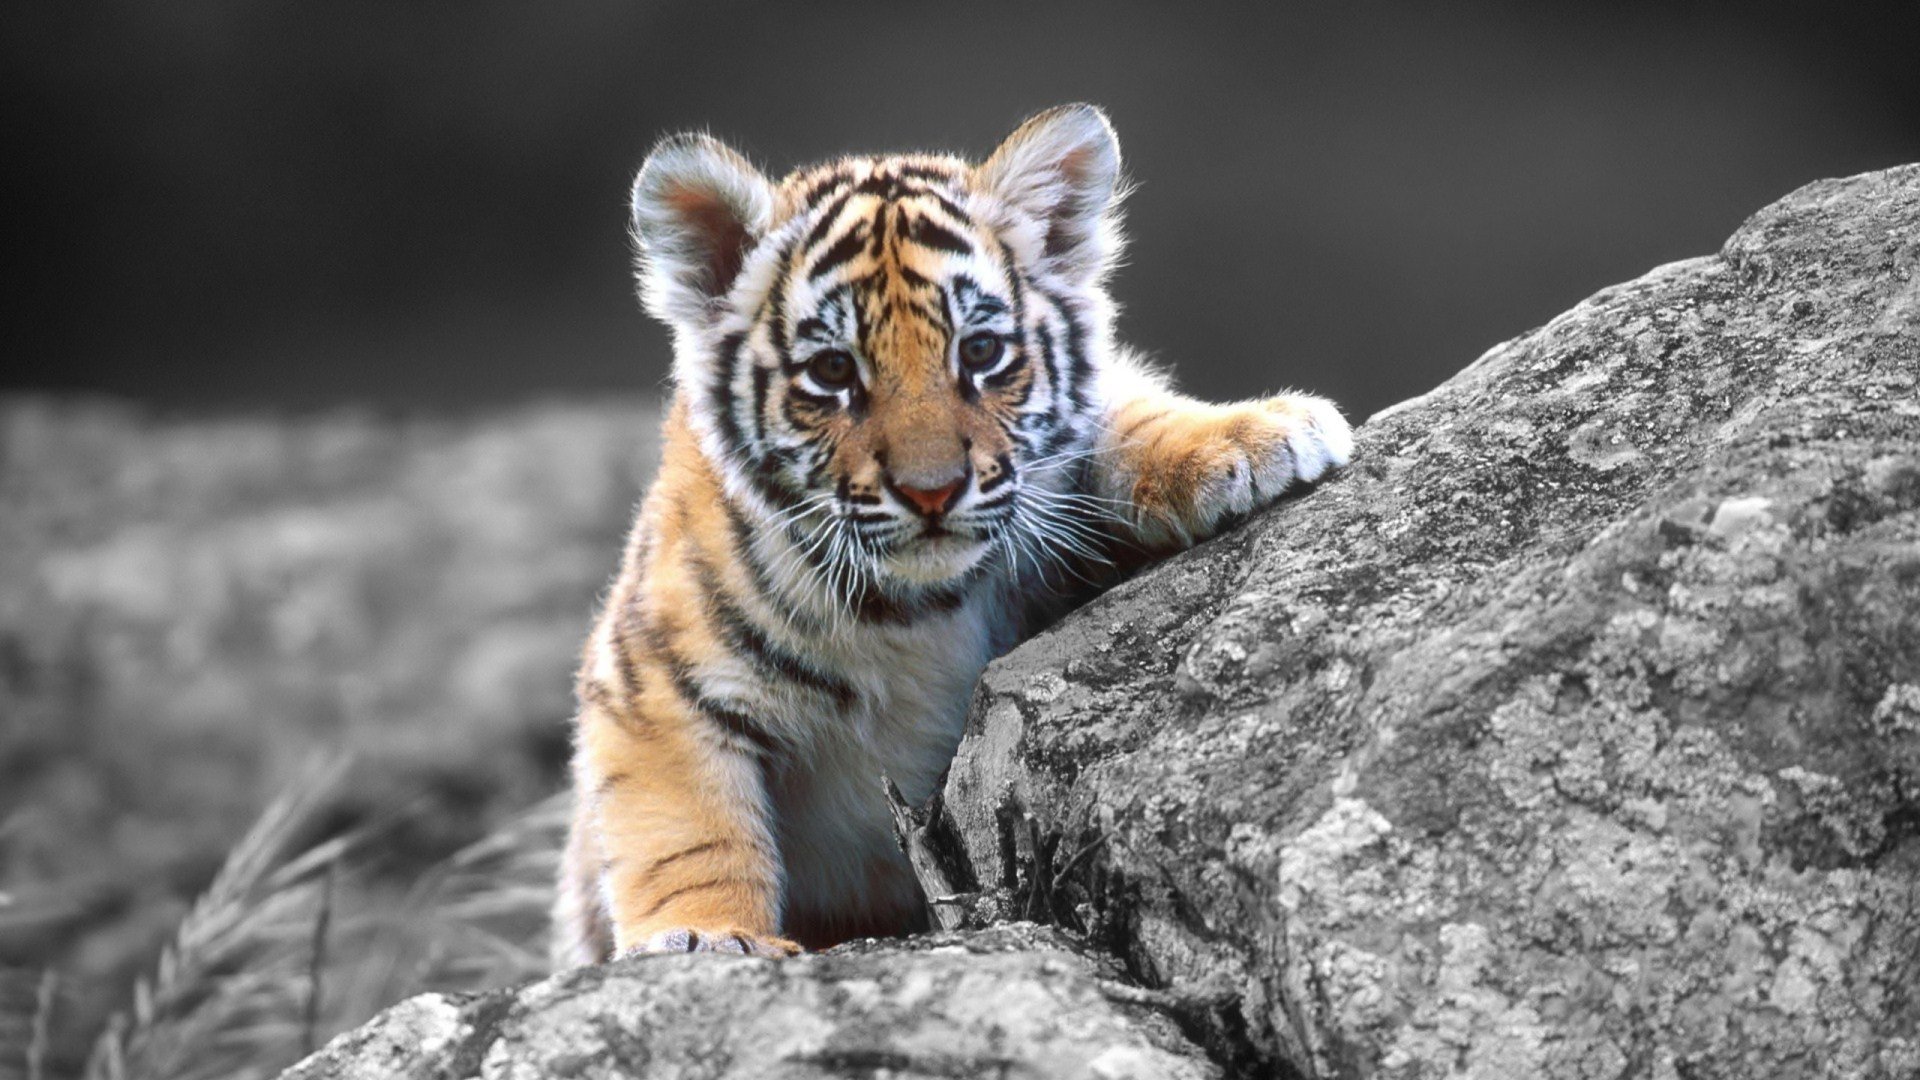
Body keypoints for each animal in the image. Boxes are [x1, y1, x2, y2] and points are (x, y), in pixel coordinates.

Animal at [554, 104, 1352, 963]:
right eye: (833, 372)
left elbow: (1125, 416)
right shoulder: (650, 683)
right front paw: (706, 938)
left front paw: (1258, 435)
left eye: (982, 351)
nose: (931, 491)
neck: (913, 612)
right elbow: (689, 832)